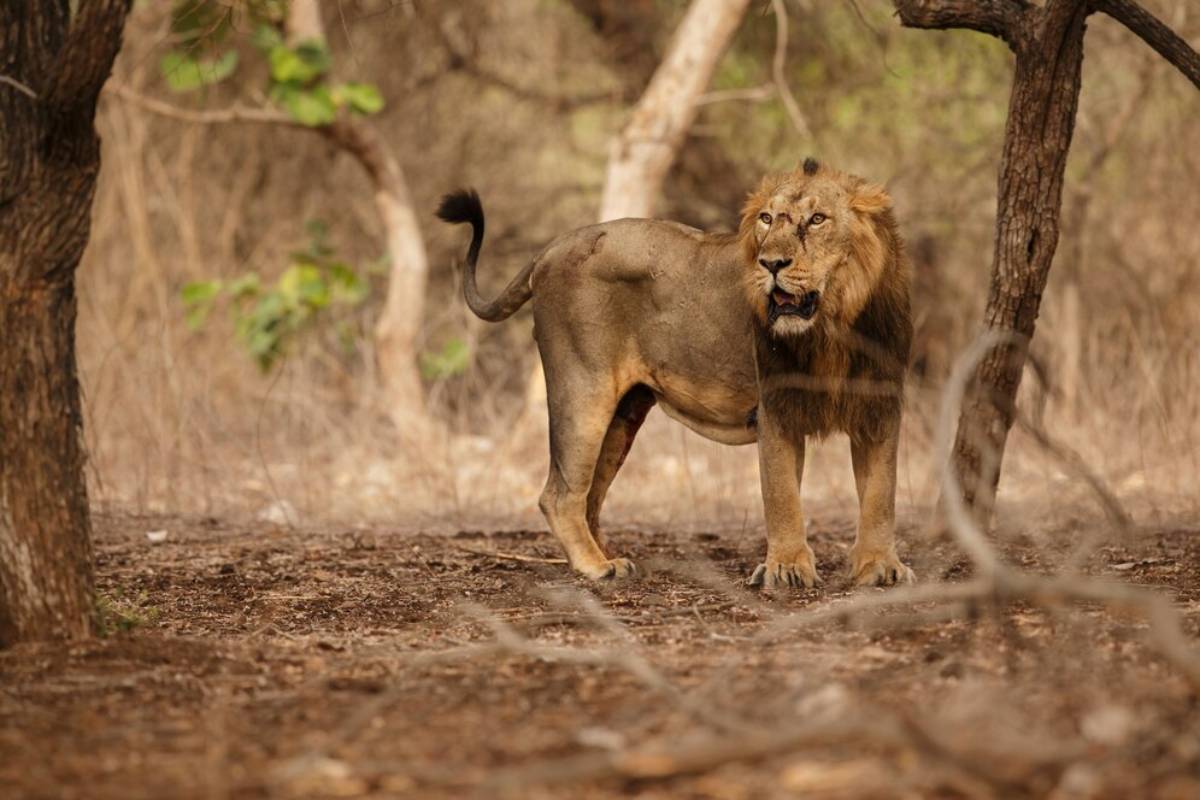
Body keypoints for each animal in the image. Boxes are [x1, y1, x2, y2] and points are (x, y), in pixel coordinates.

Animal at [437, 158, 915, 588]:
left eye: (817, 219)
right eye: (766, 218)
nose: (771, 263)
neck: (835, 326)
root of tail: (551, 248)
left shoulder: (880, 409)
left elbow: (881, 495)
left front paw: (880, 568)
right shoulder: (776, 407)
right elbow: (782, 497)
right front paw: (786, 569)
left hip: (624, 415)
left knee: (591, 497)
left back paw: (609, 556)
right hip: (583, 390)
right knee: (558, 495)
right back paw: (596, 567)